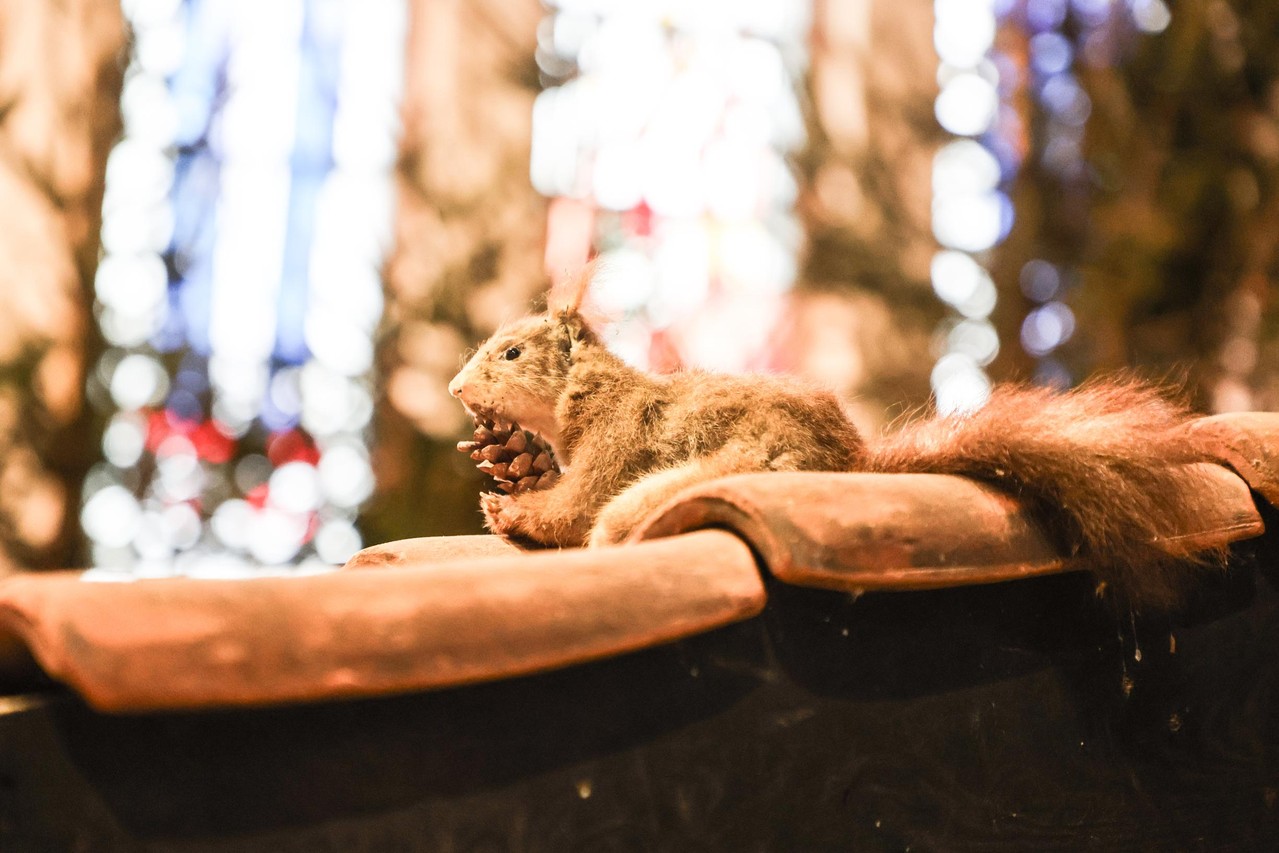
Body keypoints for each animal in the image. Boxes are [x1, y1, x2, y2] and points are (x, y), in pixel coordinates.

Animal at [450, 267, 1227, 606]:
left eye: (510, 353)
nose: (457, 389)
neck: (589, 396)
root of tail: (856, 462)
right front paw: (514, 464)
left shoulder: (613, 446)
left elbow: (571, 506)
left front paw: (509, 507)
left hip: (685, 483)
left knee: (608, 523)